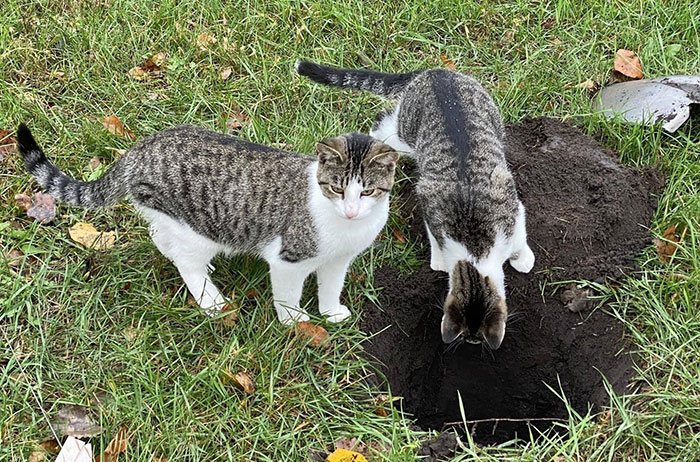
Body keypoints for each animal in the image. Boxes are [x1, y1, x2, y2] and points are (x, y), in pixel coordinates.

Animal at [16, 124, 396, 324]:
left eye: (367, 192)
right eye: (337, 188)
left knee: (158, 234)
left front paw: (331, 313)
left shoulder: (338, 261)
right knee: (187, 262)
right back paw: (210, 300)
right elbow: (288, 295)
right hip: (198, 229)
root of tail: (140, 149)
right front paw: (294, 322)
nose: (351, 211)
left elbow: (331, 286)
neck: (346, 230)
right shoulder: (288, 260)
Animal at [296, 60, 536, 346]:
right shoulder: (430, 203)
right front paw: (440, 260)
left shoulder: (511, 205)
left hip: (492, 118)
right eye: (470, 339)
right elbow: (435, 236)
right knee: (383, 123)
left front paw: (523, 259)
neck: (475, 249)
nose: (472, 344)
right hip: (406, 135)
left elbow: (519, 236)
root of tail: (434, 73)